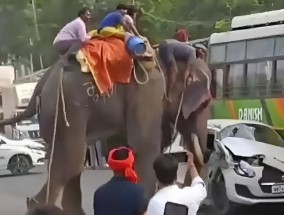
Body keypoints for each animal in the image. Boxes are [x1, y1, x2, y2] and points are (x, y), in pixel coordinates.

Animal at [0, 40, 211, 213]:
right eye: (204, 104)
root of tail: (44, 80)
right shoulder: (147, 91)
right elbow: (144, 146)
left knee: (70, 162)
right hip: (67, 107)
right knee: (70, 161)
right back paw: (37, 205)